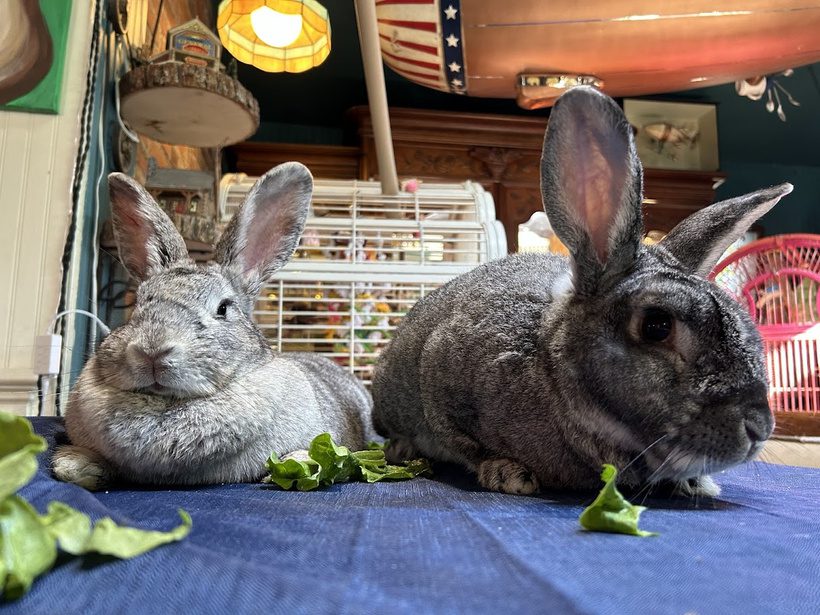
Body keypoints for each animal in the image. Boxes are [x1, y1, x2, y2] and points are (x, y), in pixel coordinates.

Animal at [371, 86, 793, 498]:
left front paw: (695, 483)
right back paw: (400, 449)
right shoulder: (440, 385)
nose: (760, 428)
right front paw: (509, 474)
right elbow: (464, 445)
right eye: (657, 326)